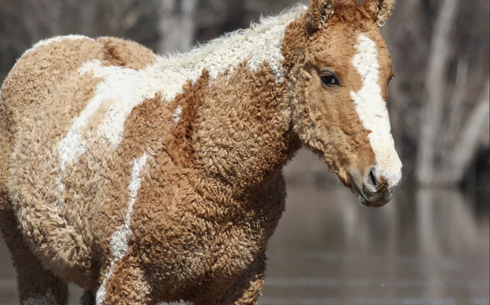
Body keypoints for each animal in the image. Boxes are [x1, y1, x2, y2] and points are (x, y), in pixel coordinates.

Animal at [0, 0, 402, 302]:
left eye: (389, 77)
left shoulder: (236, 286)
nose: (384, 176)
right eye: (329, 76)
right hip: (31, 261)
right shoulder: (125, 281)